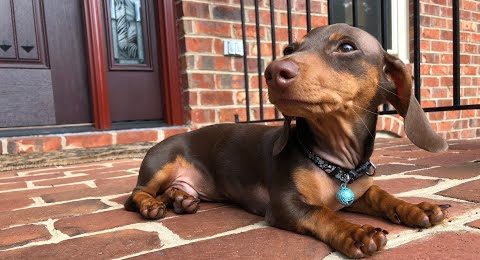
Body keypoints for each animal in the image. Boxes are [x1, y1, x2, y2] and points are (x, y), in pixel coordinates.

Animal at [124, 23, 450, 258]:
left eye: (347, 47)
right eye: (289, 48)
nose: (273, 71)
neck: (336, 162)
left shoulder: (357, 192)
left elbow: (382, 195)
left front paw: (416, 208)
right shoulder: (285, 205)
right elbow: (322, 213)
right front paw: (355, 233)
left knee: (169, 191)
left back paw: (181, 199)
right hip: (160, 166)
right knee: (137, 194)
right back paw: (152, 205)